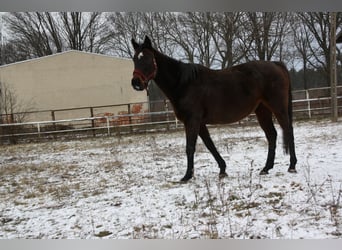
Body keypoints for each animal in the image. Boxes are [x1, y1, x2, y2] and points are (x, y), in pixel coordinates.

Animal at [131, 36, 296, 182]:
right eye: (134, 59)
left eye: (147, 59)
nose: (136, 83)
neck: (184, 84)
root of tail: (276, 64)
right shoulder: (199, 123)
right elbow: (210, 145)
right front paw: (222, 169)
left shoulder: (192, 121)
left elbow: (190, 147)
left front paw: (187, 176)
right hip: (262, 111)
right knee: (272, 135)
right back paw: (266, 168)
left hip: (278, 108)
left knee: (288, 130)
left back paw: (292, 166)